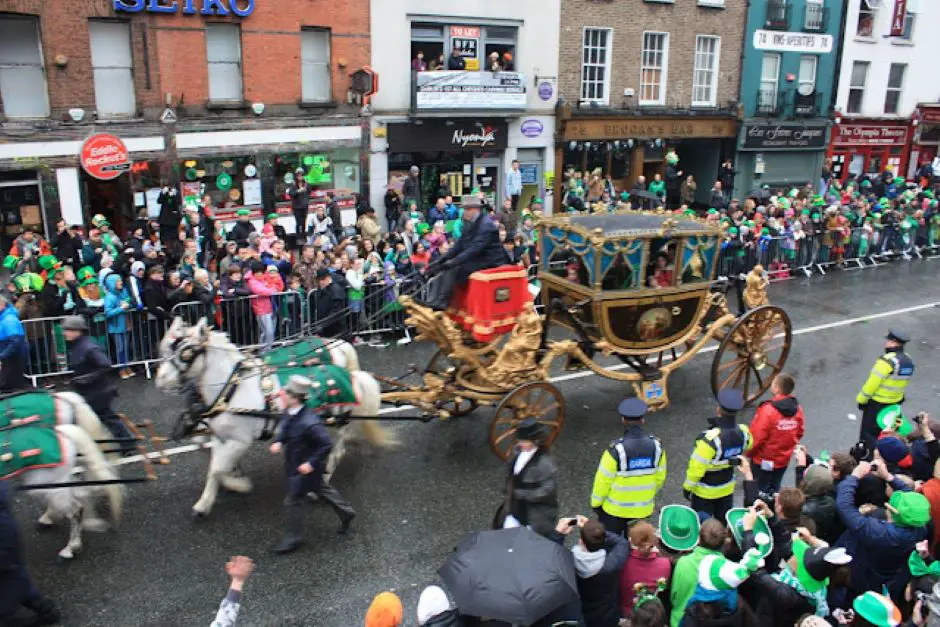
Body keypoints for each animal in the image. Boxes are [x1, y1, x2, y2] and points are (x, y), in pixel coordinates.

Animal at [153, 318, 392, 520]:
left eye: (186, 352)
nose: (160, 379)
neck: (231, 390)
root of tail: (351, 376)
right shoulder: (220, 438)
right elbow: (215, 468)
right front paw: (214, 496)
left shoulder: (240, 441)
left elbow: (217, 468)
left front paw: (236, 486)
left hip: (336, 423)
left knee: (336, 450)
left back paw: (320, 483)